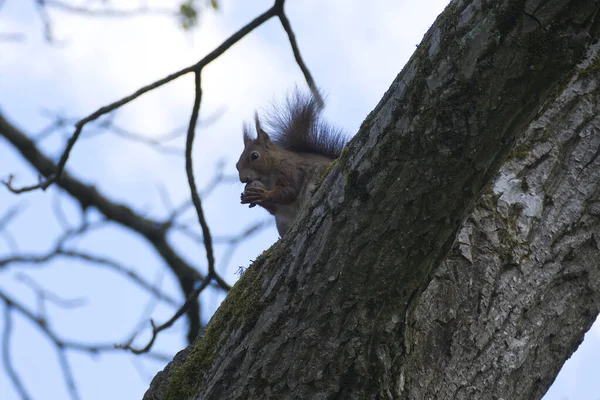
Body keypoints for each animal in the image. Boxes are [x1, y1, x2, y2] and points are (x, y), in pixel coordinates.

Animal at [236, 90, 346, 236]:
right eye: (236, 165)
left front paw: (263, 194)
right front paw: (248, 196)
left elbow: (290, 191)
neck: (268, 176)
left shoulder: (289, 169)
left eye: (255, 156)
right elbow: (274, 208)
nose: (243, 179)